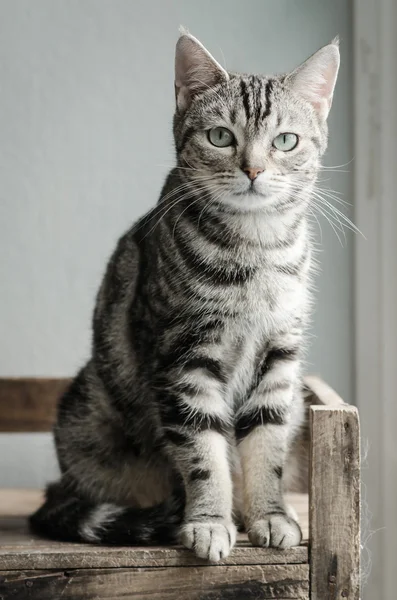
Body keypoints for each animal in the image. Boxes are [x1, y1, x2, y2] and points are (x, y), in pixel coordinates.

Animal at [30, 29, 338, 564]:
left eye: (285, 140)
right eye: (220, 137)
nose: (254, 169)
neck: (256, 251)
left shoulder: (280, 359)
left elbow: (268, 447)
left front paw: (270, 515)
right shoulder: (184, 358)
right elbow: (203, 453)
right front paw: (209, 521)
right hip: (86, 414)